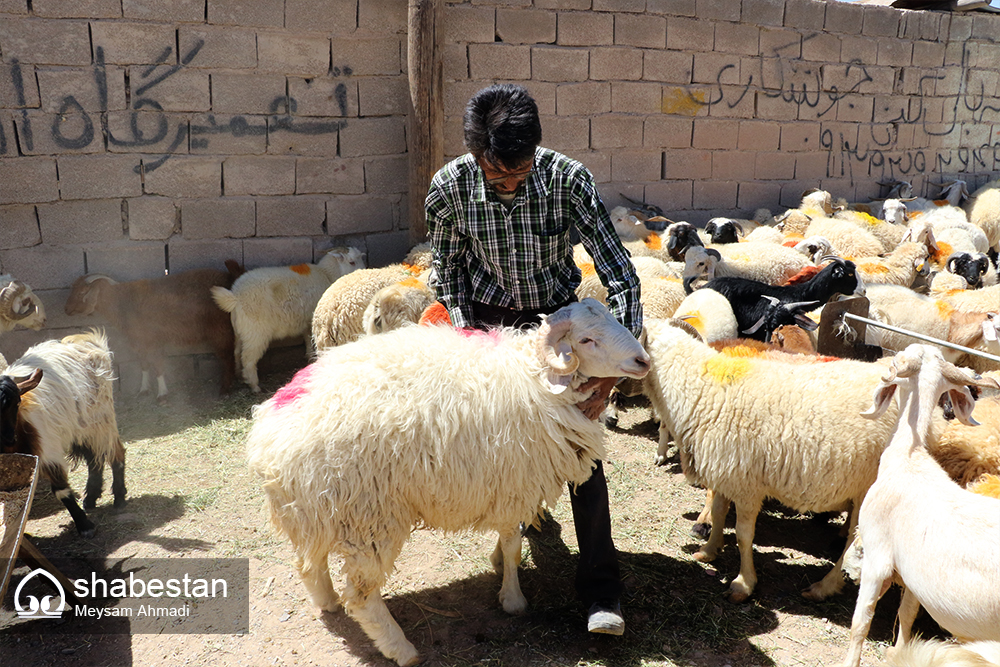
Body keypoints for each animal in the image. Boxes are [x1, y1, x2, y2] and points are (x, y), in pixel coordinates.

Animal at [65, 264, 243, 402]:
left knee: (227, 357)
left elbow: (158, 365)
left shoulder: (153, 340)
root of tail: (230, 280)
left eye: (82, 293)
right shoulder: (139, 341)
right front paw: (143, 390)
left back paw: (225, 390)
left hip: (220, 330)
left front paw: (162, 395)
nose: (66, 310)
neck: (124, 302)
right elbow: (144, 364)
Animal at [211, 247, 364, 394]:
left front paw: (309, 356)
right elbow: (311, 340)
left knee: (236, 352)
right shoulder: (313, 320)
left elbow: (308, 339)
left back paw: (239, 376)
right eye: (351, 262)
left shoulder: (306, 322)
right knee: (248, 359)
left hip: (240, 331)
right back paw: (254, 385)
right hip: (256, 333)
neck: (327, 274)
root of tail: (235, 297)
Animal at [246, 302, 652, 667]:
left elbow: (510, 541)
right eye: (586, 340)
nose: (643, 361)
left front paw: (499, 566)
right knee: (361, 595)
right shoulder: (512, 483)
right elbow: (511, 543)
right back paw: (401, 649)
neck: (535, 376)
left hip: (314, 513)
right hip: (369, 517)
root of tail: (274, 422)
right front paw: (512, 599)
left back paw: (328, 602)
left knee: (309, 565)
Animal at [640, 316, 908, 604]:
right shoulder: (725, 473)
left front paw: (743, 584)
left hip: (869, 488)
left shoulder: (747, 485)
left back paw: (824, 586)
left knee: (854, 541)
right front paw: (710, 549)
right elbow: (719, 512)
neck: (703, 389)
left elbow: (744, 536)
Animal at [840, 348, 996, 667]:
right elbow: (908, 612)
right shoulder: (911, 573)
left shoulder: (877, 555)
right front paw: (900, 652)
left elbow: (860, 623)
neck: (909, 457)